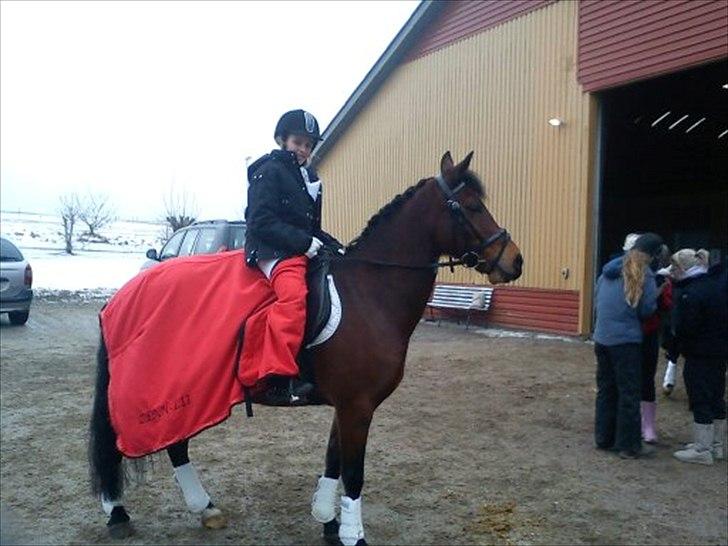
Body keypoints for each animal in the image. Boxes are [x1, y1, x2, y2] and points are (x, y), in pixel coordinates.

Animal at [89, 150, 524, 544]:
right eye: (472, 206)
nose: (515, 261)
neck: (371, 292)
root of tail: (125, 294)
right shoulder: (357, 406)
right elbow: (354, 473)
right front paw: (353, 535)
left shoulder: (348, 405)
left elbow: (333, 460)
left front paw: (328, 521)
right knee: (140, 441)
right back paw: (121, 512)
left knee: (172, 444)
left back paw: (203, 509)